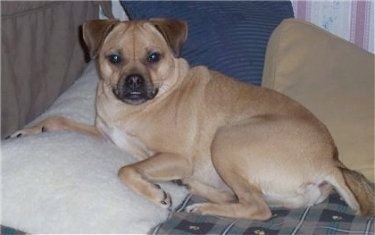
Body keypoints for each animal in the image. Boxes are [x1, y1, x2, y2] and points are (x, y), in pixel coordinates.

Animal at [10, 18, 374, 220]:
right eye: (113, 59)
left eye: (153, 57)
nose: (133, 82)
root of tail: (329, 161)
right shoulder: (104, 132)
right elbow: (59, 120)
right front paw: (27, 130)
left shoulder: (174, 157)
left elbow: (126, 169)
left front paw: (155, 193)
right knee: (242, 197)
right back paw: (195, 189)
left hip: (227, 140)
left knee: (257, 208)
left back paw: (200, 206)